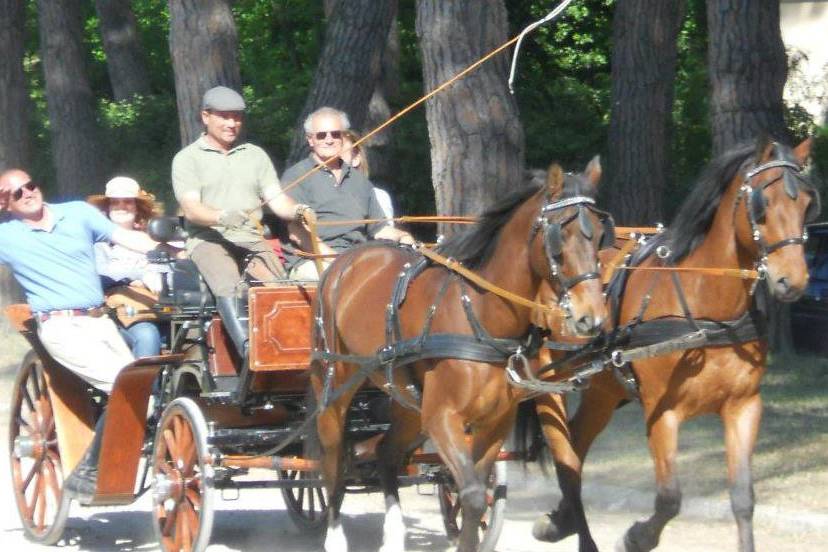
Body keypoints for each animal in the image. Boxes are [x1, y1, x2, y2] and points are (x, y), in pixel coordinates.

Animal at [310, 157, 616, 548]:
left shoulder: (495, 421)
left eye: (600, 234)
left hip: (408, 403)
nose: (591, 318)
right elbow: (470, 495)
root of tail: (344, 262)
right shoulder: (443, 418)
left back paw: (393, 535)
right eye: (559, 237)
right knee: (332, 463)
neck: (481, 316)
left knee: (386, 453)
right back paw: (334, 534)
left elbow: (477, 491)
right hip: (334, 390)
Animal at [528, 138, 820, 552]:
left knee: (577, 444)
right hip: (545, 380)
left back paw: (561, 519)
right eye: (762, 202)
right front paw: (636, 536)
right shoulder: (661, 411)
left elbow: (743, 498)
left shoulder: (743, 406)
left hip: (603, 389)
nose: (792, 280)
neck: (706, 310)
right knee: (563, 454)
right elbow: (669, 498)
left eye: (807, 203)